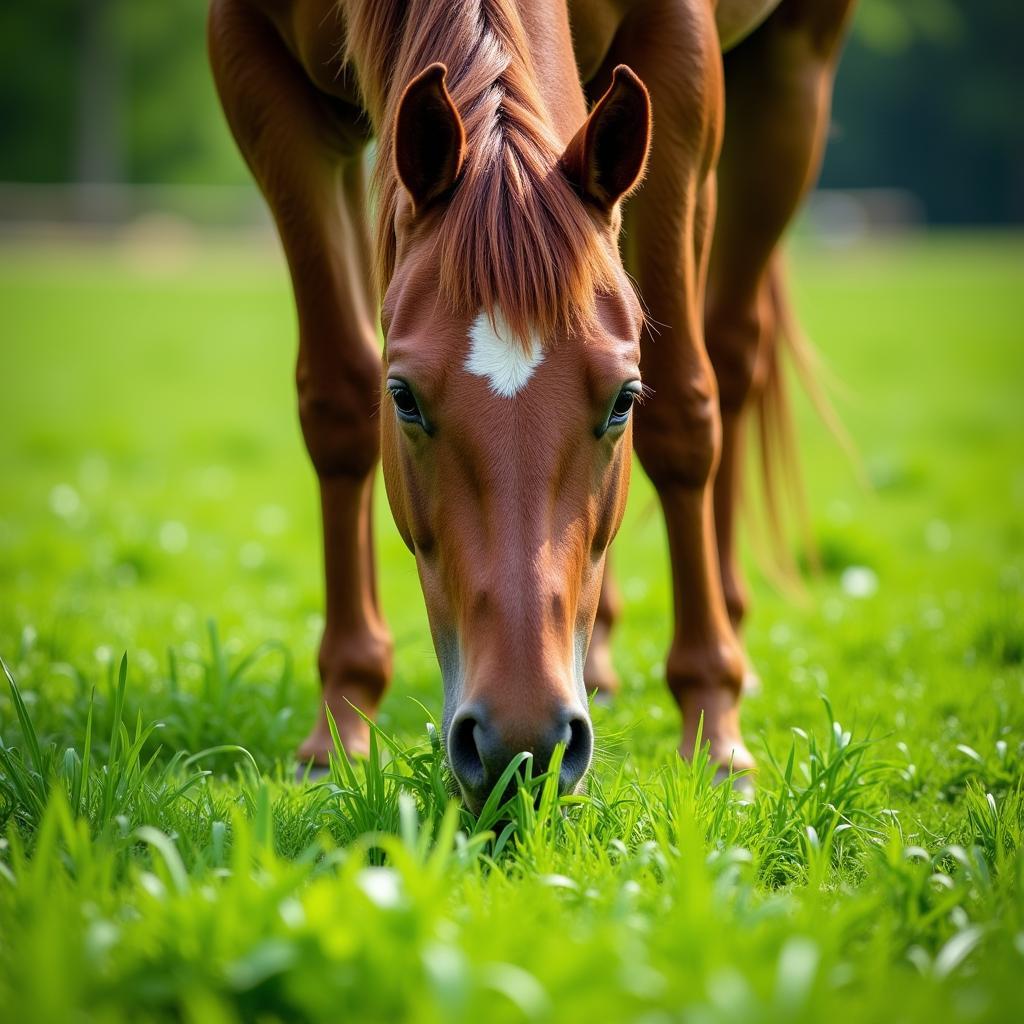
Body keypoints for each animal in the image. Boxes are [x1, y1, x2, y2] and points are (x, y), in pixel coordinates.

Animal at [207, 0, 856, 806]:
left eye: (623, 401)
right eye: (403, 399)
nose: (523, 745)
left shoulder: (684, 60)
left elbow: (683, 411)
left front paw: (714, 729)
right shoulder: (258, 72)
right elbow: (336, 399)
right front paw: (340, 724)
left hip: (790, 74)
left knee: (730, 357)